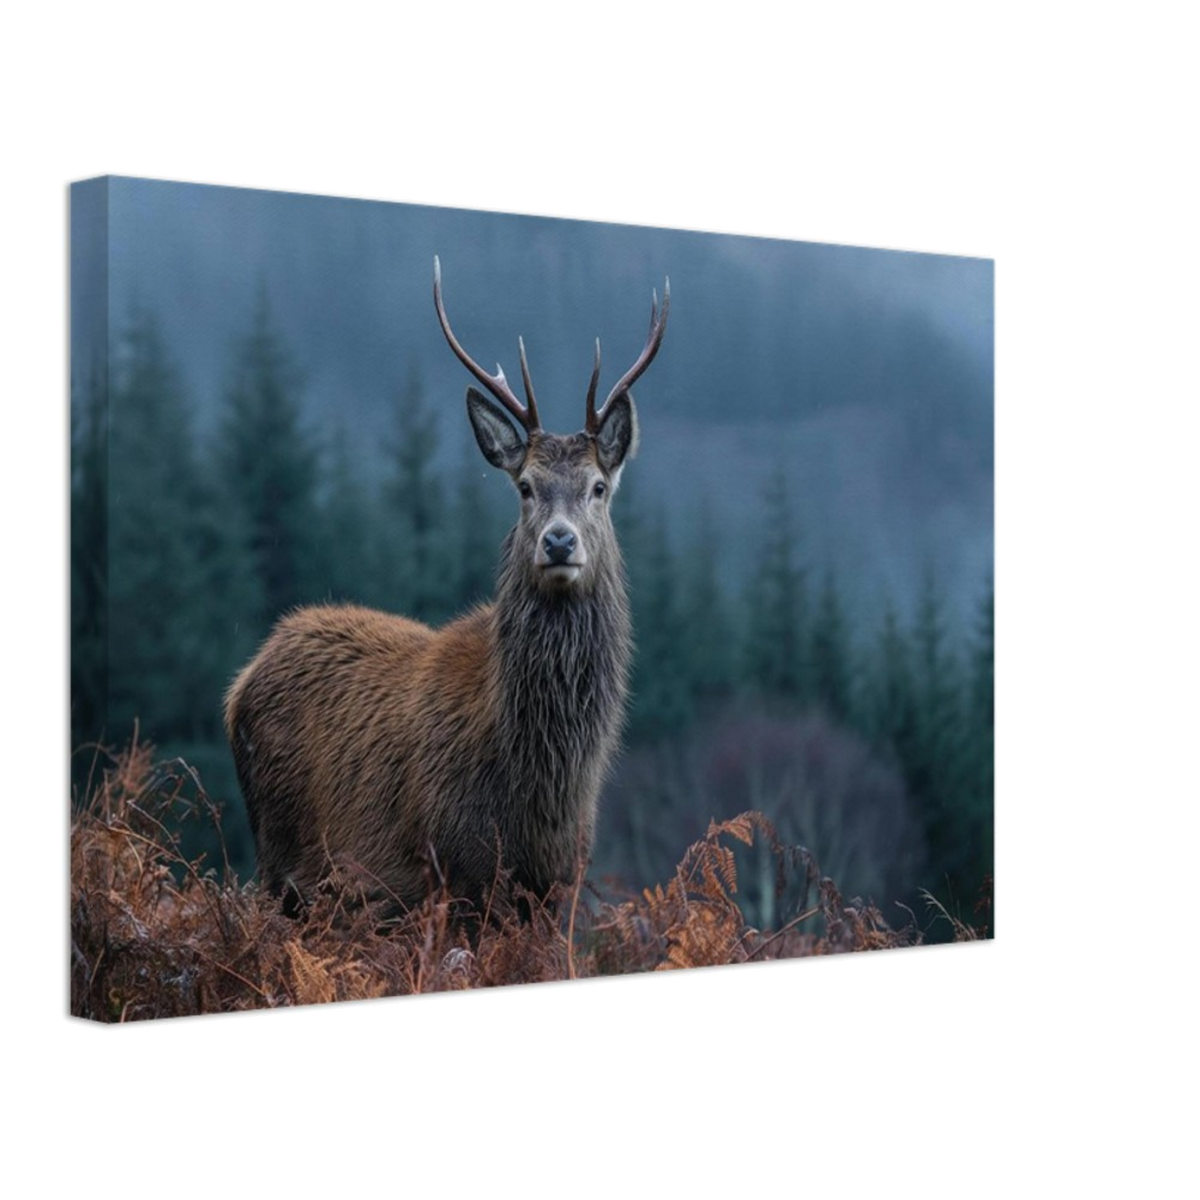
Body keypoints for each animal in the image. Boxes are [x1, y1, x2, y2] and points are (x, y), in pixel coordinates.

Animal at [224, 258, 669, 919]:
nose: (559, 542)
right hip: (280, 860)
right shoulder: (454, 875)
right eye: (526, 487)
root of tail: (243, 679)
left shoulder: (558, 887)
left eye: (597, 486)